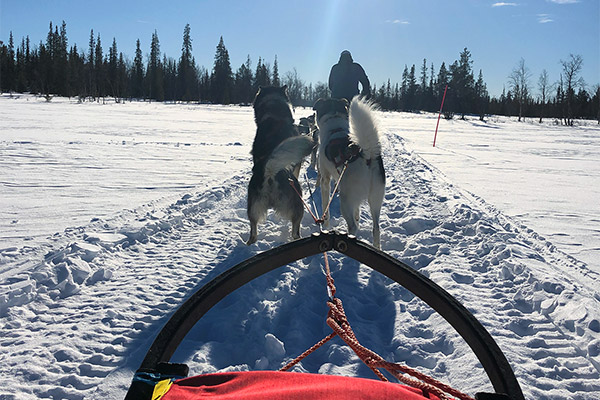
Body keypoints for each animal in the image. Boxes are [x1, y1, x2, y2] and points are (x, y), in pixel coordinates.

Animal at [247, 86, 314, 245]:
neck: (273, 113)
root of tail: (271, 171)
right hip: (298, 208)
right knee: (295, 233)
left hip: (252, 210)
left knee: (253, 234)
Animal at [314, 97, 384, 247]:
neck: (335, 127)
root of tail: (366, 156)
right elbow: (357, 210)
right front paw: (358, 216)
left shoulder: (325, 180)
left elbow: (325, 208)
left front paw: (325, 226)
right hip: (375, 200)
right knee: (376, 229)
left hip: (345, 201)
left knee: (353, 226)